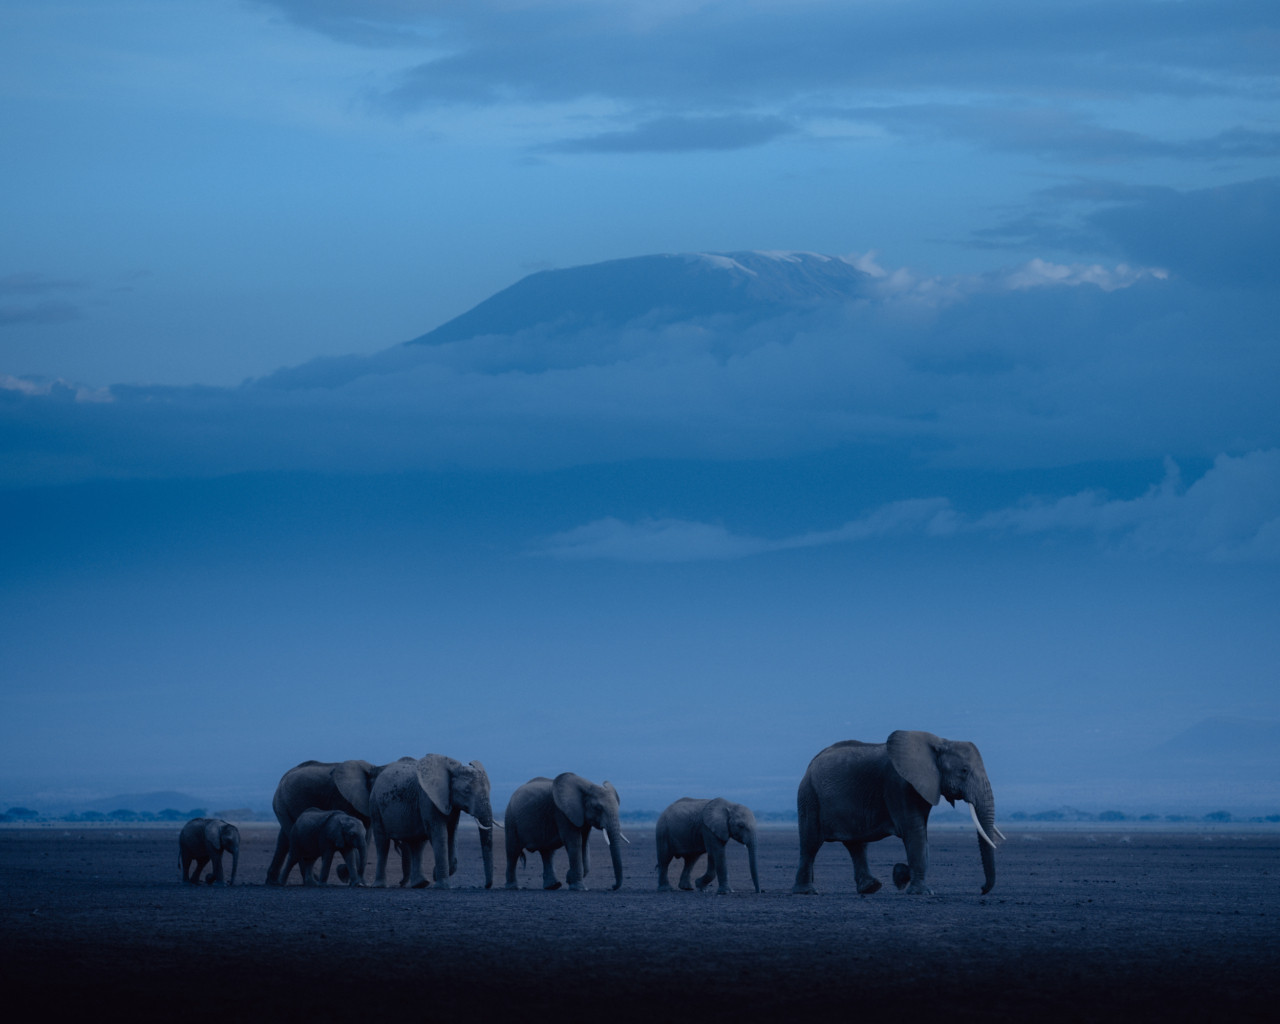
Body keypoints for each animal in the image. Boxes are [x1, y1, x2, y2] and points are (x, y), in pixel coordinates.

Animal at [369, 754, 496, 889]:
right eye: (466, 791)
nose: (486, 886)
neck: (454, 768)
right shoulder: (428, 800)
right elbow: (439, 834)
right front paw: (441, 885)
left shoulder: (450, 804)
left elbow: (452, 834)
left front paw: (436, 875)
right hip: (375, 805)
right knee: (382, 843)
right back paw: (379, 885)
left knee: (417, 844)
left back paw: (420, 884)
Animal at [792, 730, 1002, 896]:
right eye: (964, 771)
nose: (982, 889)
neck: (940, 743)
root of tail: (810, 764)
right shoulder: (899, 784)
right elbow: (914, 832)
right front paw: (921, 892)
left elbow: (922, 838)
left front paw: (900, 876)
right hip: (809, 796)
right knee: (811, 843)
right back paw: (807, 892)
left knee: (857, 844)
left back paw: (871, 888)